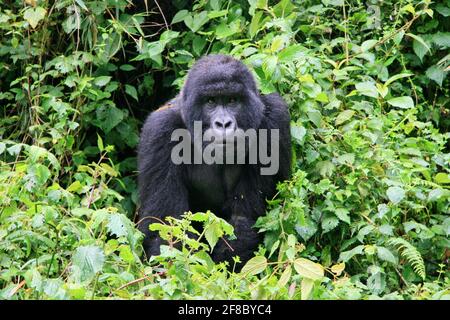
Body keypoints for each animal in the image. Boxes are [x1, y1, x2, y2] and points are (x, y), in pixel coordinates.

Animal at [137, 53, 292, 266]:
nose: (223, 123)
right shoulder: (160, 130)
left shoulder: (276, 118)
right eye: (210, 101)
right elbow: (166, 229)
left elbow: (244, 219)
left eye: (232, 100)